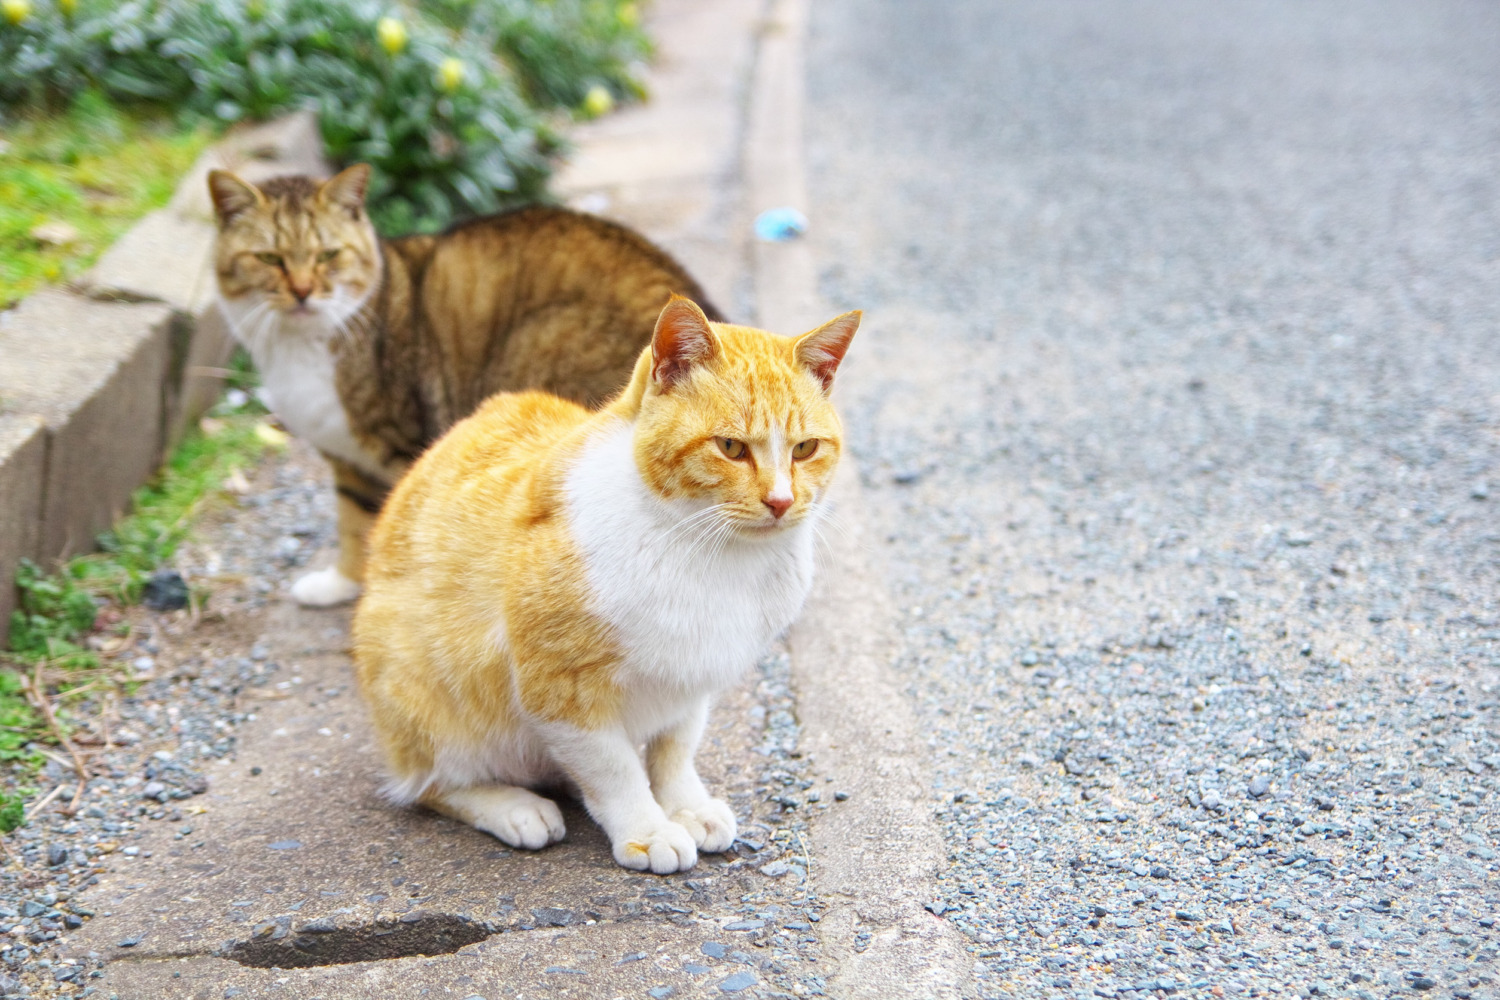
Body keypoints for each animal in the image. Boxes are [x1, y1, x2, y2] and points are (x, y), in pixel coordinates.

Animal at [210, 164, 720, 605]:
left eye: (328, 255)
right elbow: (353, 523)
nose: (301, 291)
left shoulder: (405, 441)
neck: (299, 347)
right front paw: (339, 584)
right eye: (269, 258)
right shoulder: (346, 461)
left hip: (542, 340)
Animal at [351, 299, 864, 875]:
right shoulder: (560, 689)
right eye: (731, 447)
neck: (712, 551)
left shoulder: (693, 678)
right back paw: (512, 806)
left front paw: (684, 805)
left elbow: (674, 750)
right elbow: (614, 769)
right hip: (424, 693)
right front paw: (646, 829)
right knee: (430, 783)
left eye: (805, 449)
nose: (780, 501)